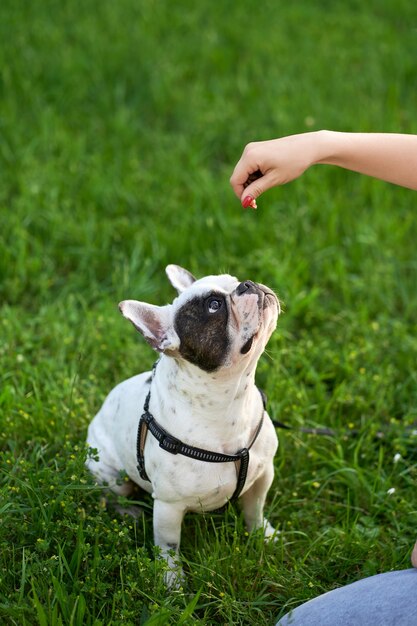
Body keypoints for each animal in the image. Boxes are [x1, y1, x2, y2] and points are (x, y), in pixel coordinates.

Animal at [85, 264, 280, 584]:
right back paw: (129, 513)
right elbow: (168, 545)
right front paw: (172, 580)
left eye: (234, 280)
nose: (248, 284)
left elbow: (255, 510)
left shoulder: (263, 474)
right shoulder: (168, 507)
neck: (229, 400)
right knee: (112, 496)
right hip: (110, 475)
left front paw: (264, 535)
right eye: (214, 305)